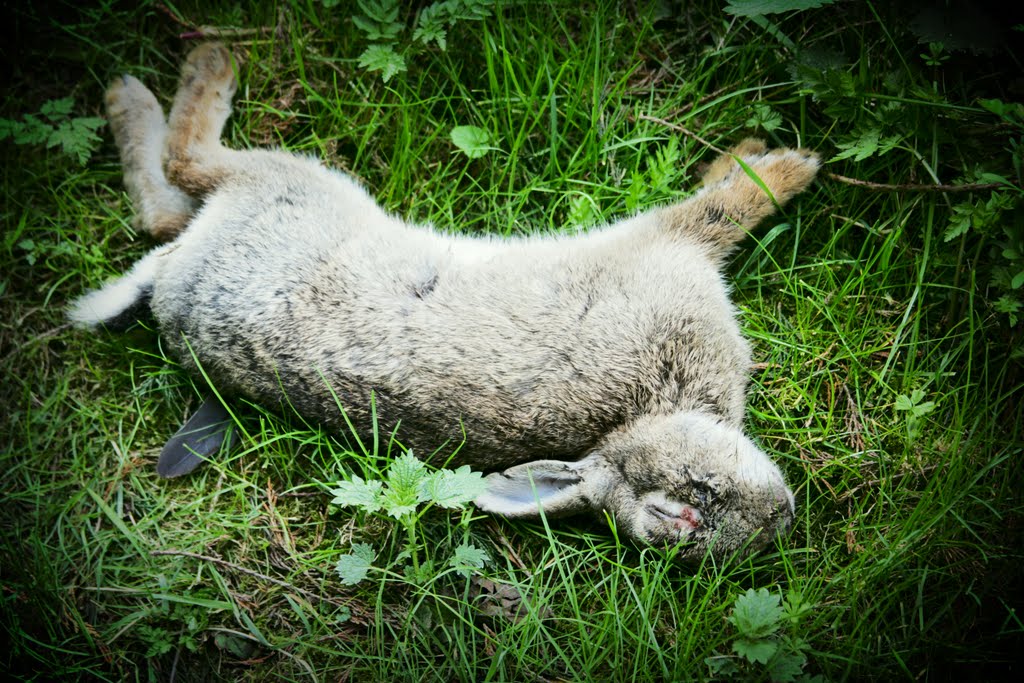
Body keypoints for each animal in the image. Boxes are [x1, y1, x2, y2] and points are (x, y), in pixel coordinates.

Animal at [70, 43, 819, 560]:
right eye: (695, 499)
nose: (783, 517)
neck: (645, 413)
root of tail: (171, 292)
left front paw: (747, 150)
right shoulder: (668, 249)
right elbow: (726, 205)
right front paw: (784, 164)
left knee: (164, 210)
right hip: (295, 184)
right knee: (186, 162)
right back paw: (188, 70)